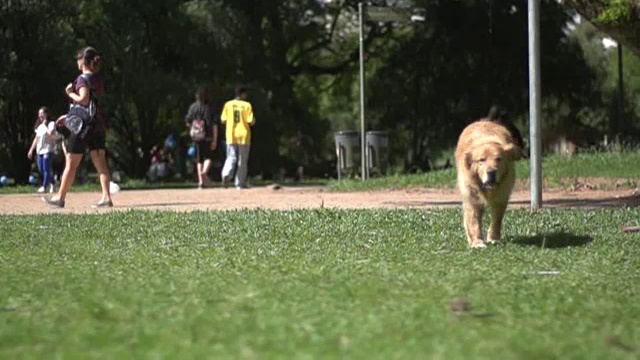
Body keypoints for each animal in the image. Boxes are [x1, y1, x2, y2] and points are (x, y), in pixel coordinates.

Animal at [452, 118, 524, 248]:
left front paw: (493, 238)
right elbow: (473, 222)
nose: (491, 172)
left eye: (498, 159)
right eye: (482, 160)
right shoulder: (472, 199)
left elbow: (496, 220)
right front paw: (477, 242)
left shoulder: (501, 198)